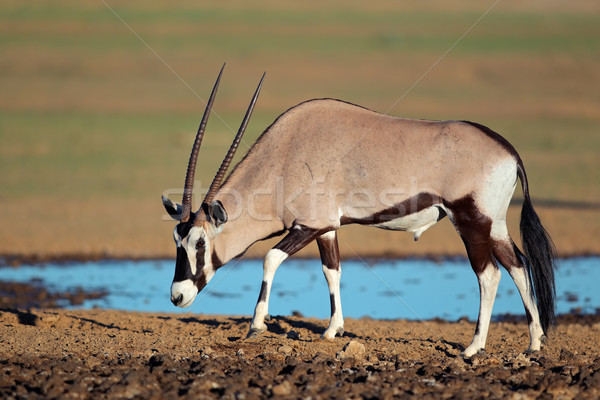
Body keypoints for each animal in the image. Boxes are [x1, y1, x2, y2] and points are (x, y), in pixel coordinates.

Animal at [162, 65, 556, 356]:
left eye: (199, 243)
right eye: (177, 241)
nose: (177, 296)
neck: (285, 154)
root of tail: (509, 153)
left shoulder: (307, 225)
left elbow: (271, 258)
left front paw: (256, 325)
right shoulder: (326, 228)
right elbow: (331, 271)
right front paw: (332, 330)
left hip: (471, 222)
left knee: (489, 275)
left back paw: (474, 347)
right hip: (495, 224)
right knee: (518, 265)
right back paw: (534, 343)